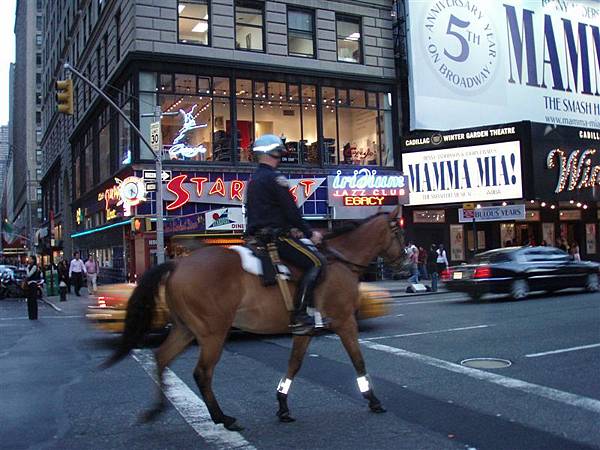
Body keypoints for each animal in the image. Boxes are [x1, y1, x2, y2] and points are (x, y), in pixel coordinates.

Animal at [104, 206, 404, 430]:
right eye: (398, 231)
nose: (404, 263)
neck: (340, 261)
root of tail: (178, 263)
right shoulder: (345, 321)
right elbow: (358, 359)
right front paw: (374, 400)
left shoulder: (305, 331)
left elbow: (294, 364)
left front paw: (282, 406)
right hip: (213, 332)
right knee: (202, 372)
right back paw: (222, 418)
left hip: (185, 329)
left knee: (162, 358)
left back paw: (156, 409)